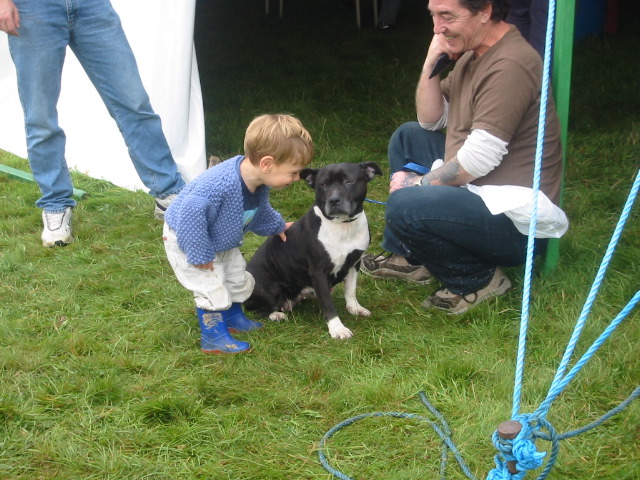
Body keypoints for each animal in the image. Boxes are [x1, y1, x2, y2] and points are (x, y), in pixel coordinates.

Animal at [246, 163, 380, 340]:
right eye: (323, 185)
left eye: (349, 181)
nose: (334, 200)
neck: (343, 225)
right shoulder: (318, 272)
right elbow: (328, 304)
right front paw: (337, 329)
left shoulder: (354, 264)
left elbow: (350, 290)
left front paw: (355, 308)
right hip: (266, 287)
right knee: (257, 309)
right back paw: (276, 315)